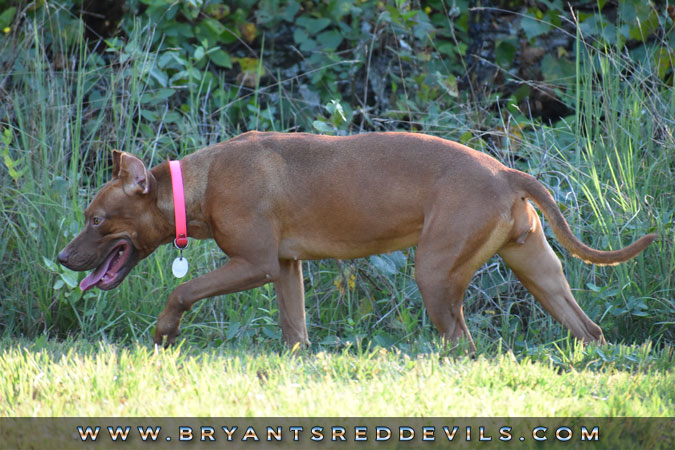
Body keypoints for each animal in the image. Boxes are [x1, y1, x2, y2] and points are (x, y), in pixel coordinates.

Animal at [55, 132, 656, 350]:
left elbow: (182, 290)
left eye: (96, 219)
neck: (196, 185)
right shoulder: (286, 268)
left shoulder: (254, 264)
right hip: (538, 271)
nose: (61, 257)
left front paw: (165, 333)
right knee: (589, 329)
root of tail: (506, 172)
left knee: (464, 343)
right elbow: (295, 331)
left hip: (435, 273)